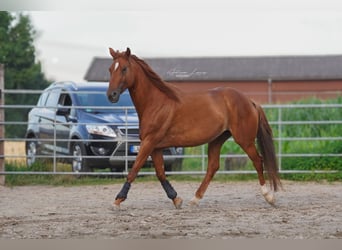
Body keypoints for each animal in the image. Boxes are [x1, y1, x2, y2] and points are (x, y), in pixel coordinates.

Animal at [106, 47, 280, 208]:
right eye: (110, 69)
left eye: (124, 68)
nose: (111, 95)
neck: (156, 102)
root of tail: (249, 100)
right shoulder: (155, 146)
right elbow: (160, 173)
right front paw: (176, 199)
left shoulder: (149, 142)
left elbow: (134, 169)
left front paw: (118, 200)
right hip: (217, 139)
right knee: (213, 167)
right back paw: (195, 198)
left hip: (244, 140)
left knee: (258, 161)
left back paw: (269, 196)